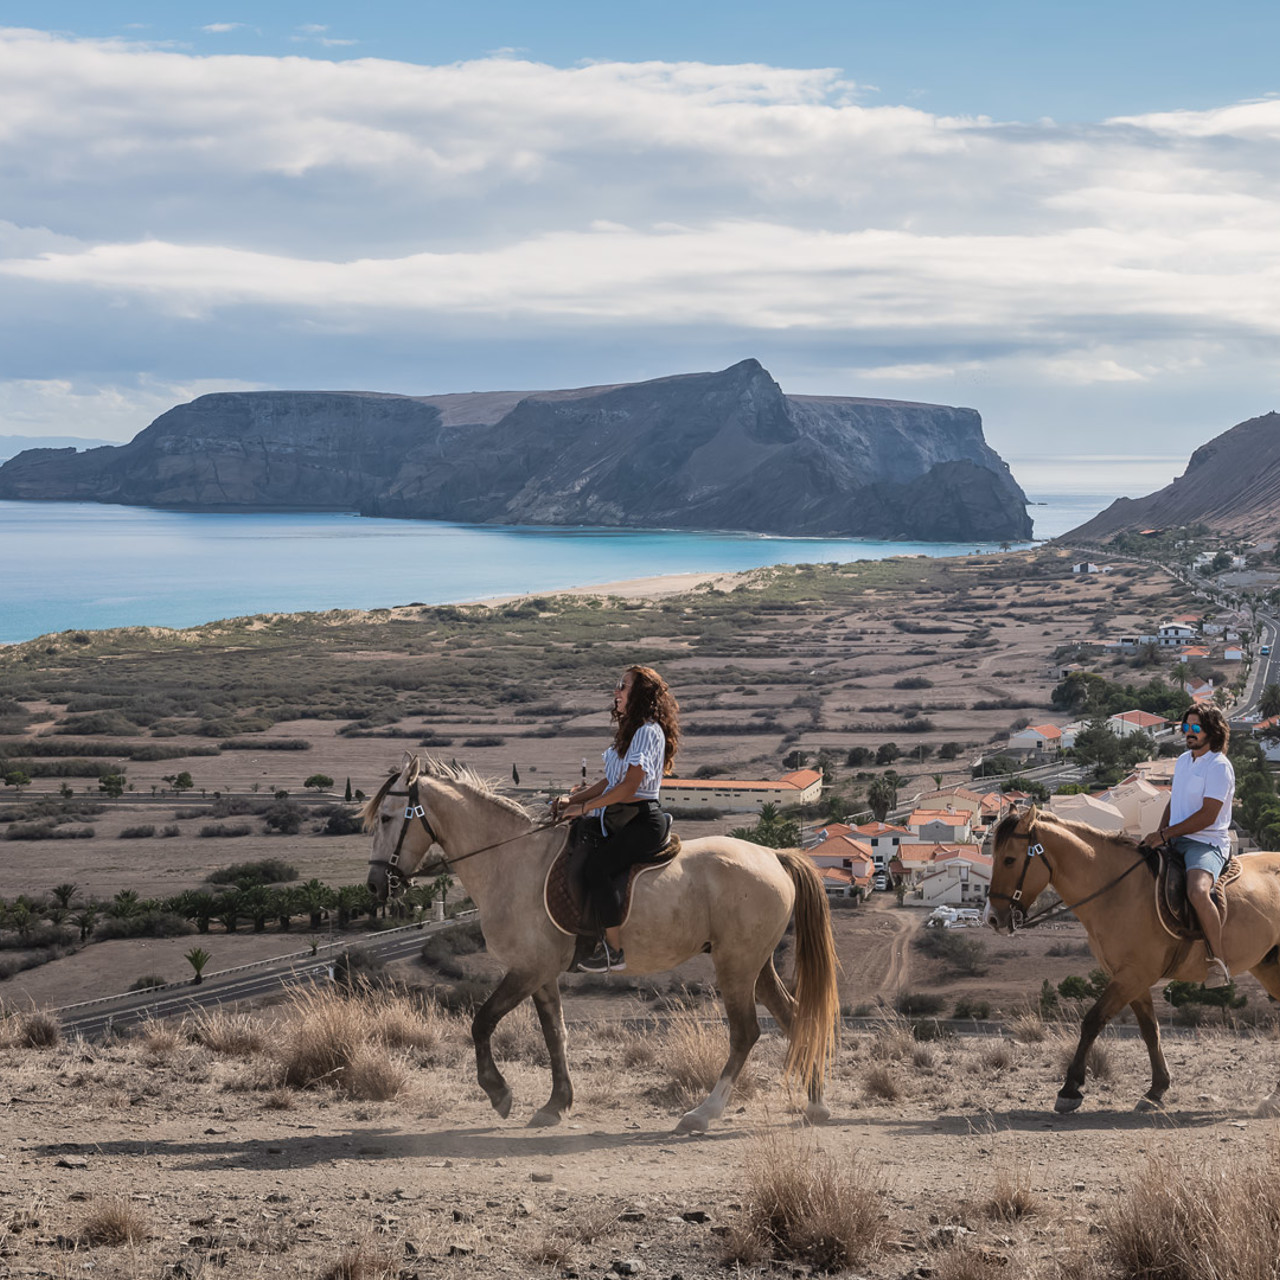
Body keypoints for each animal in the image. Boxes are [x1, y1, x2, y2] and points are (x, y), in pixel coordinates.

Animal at [363, 752, 839, 1136]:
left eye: (387, 818)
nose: (375, 886)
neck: (511, 861)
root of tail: (773, 855)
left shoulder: (528, 968)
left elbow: (482, 1022)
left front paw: (499, 1094)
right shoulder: (541, 972)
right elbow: (555, 1034)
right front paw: (556, 1105)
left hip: (735, 965)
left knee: (746, 1033)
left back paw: (703, 1113)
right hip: (755, 963)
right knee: (794, 1017)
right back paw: (816, 1103)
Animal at [988, 808, 1280, 1121]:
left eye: (1009, 859)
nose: (993, 918)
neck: (1118, 890)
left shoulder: (1132, 976)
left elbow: (1092, 1021)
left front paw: (1070, 1089)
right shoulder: (1133, 980)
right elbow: (1150, 1031)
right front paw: (1156, 1091)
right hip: (1268, 966)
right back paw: (1273, 1099)